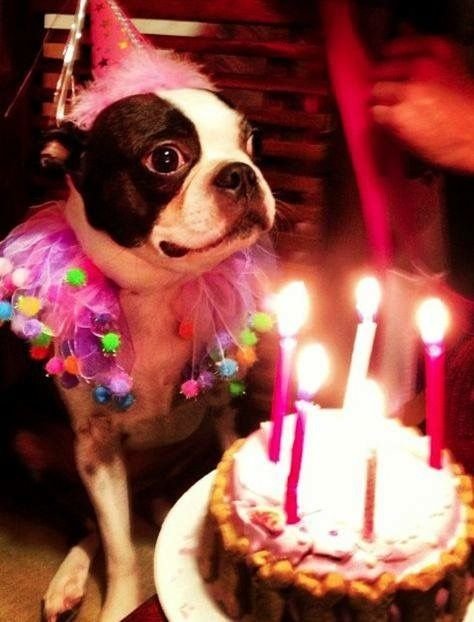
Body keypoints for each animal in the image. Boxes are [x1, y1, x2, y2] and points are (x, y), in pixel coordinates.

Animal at [0, 79, 274, 622]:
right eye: (165, 158)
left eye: (251, 142)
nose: (241, 172)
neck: (159, 293)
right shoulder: (97, 448)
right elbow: (121, 547)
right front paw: (122, 607)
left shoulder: (227, 407)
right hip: (26, 446)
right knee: (89, 525)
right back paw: (68, 581)